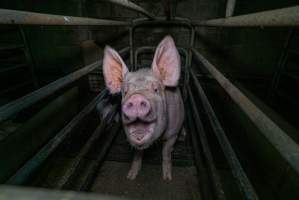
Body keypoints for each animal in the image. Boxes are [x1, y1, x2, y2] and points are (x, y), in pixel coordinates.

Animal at [102, 35, 184, 180]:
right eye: (125, 92)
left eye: (156, 89)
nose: (136, 98)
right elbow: (137, 154)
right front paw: (131, 176)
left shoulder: (173, 133)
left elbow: (166, 152)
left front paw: (167, 178)